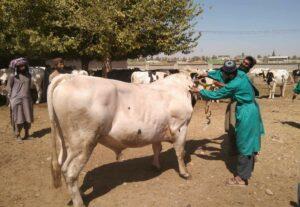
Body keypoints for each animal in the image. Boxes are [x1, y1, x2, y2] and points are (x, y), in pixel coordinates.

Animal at [47, 73, 197, 207]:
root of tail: (69, 77)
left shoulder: (157, 130)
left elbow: (157, 148)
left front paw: (155, 165)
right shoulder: (181, 127)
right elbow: (180, 152)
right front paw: (185, 173)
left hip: (65, 142)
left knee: (63, 166)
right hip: (83, 143)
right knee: (70, 172)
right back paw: (79, 203)